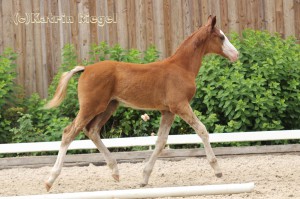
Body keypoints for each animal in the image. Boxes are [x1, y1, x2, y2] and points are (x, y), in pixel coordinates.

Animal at [44, 15, 238, 191]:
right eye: (221, 37)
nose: (236, 54)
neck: (181, 68)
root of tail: (86, 68)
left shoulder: (168, 111)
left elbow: (161, 141)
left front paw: (144, 178)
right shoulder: (180, 106)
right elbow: (202, 130)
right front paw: (217, 170)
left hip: (108, 106)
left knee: (92, 131)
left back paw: (115, 172)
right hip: (90, 107)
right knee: (69, 132)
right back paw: (50, 180)